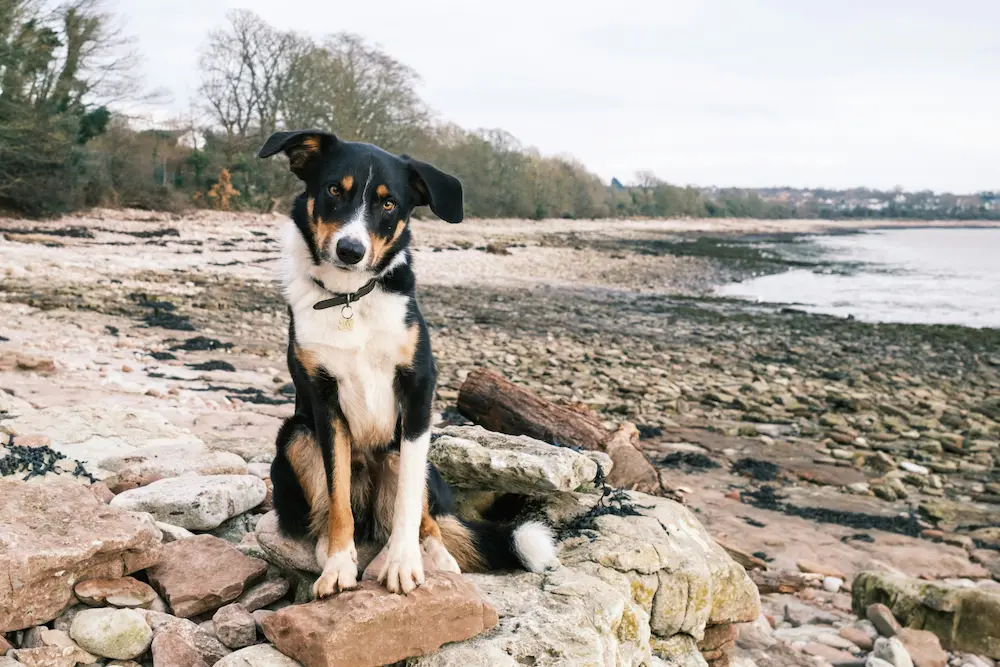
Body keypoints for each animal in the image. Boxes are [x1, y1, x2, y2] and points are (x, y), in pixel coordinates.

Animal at [258, 130, 560, 600]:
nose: (350, 250)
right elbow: (337, 494)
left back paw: (434, 556)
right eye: (333, 190)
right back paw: (333, 547)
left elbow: (407, 505)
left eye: (388, 204)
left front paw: (404, 564)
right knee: (328, 502)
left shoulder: (418, 392)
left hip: (404, 449)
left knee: (426, 515)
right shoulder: (324, 403)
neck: (350, 297)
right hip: (295, 434)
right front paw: (339, 565)